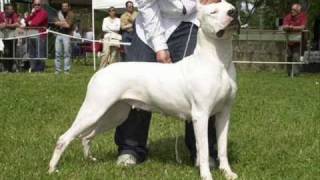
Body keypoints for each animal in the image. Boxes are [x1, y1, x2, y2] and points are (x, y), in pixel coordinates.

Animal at [50, 1, 239, 180]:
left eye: (231, 7)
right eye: (213, 12)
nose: (233, 13)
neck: (218, 61)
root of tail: (101, 72)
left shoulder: (224, 114)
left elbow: (222, 147)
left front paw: (227, 173)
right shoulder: (201, 115)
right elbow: (204, 149)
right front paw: (206, 175)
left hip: (115, 114)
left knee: (87, 136)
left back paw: (90, 160)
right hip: (93, 110)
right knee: (64, 138)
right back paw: (53, 169)